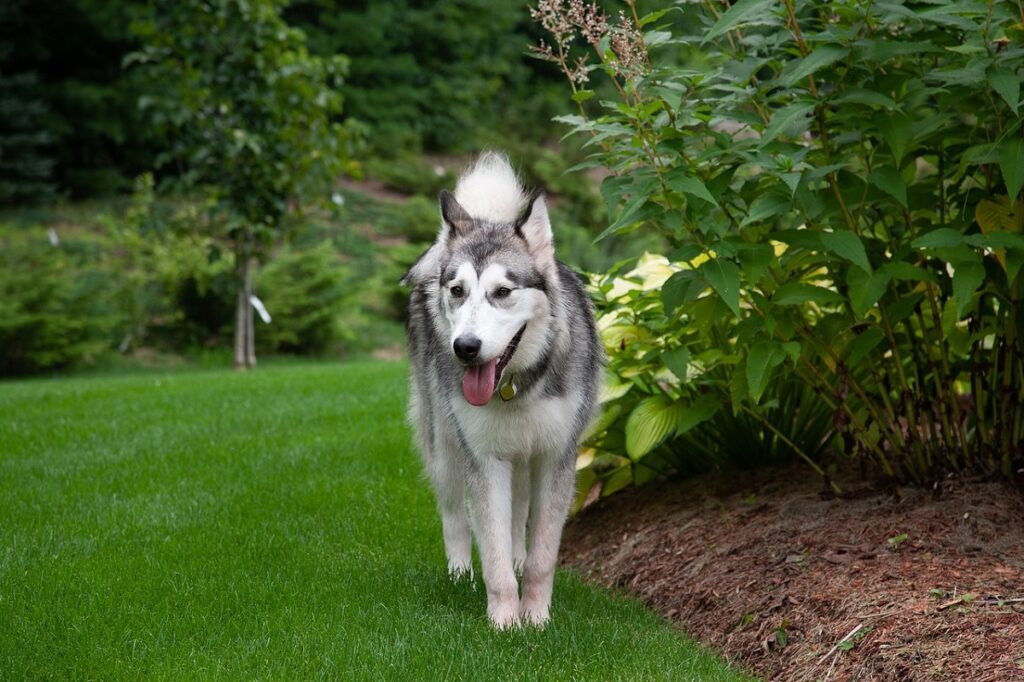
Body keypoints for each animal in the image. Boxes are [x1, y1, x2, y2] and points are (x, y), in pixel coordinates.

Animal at [403, 151, 602, 622]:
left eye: (503, 291)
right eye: (458, 290)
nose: (465, 348)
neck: (516, 387)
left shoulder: (553, 458)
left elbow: (541, 556)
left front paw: (536, 619)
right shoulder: (484, 459)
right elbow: (491, 555)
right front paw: (504, 623)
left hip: (522, 459)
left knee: (517, 517)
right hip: (445, 446)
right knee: (454, 515)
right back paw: (459, 575)